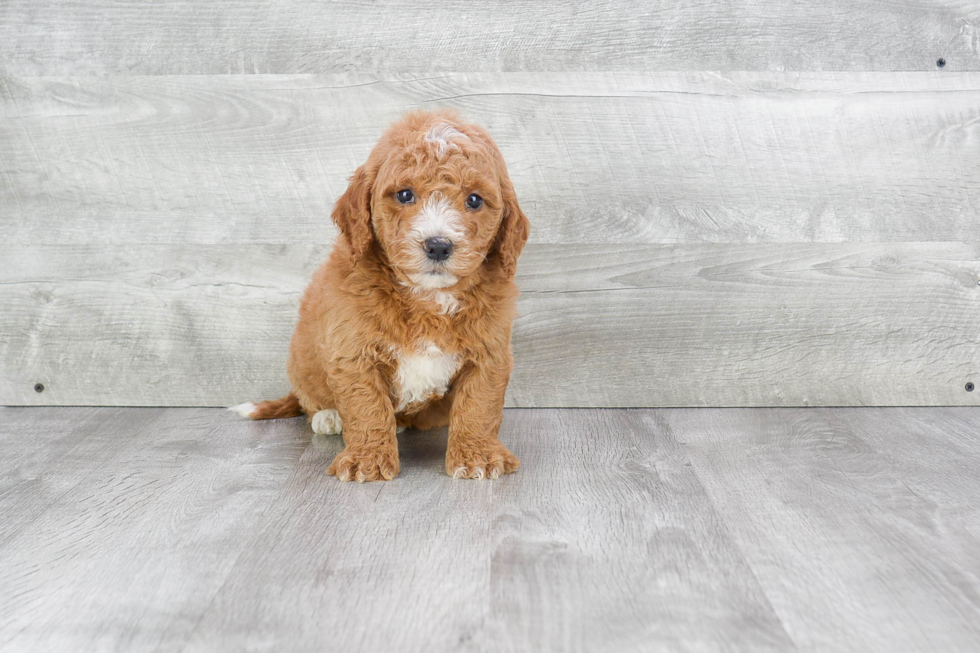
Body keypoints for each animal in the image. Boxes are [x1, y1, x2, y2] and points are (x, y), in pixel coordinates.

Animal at [230, 109, 528, 482]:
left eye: (474, 200)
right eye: (404, 195)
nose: (438, 245)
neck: (426, 298)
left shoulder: (490, 351)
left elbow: (479, 403)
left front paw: (477, 457)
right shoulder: (352, 349)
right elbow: (366, 406)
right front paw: (367, 460)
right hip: (302, 361)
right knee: (311, 399)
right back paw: (328, 416)